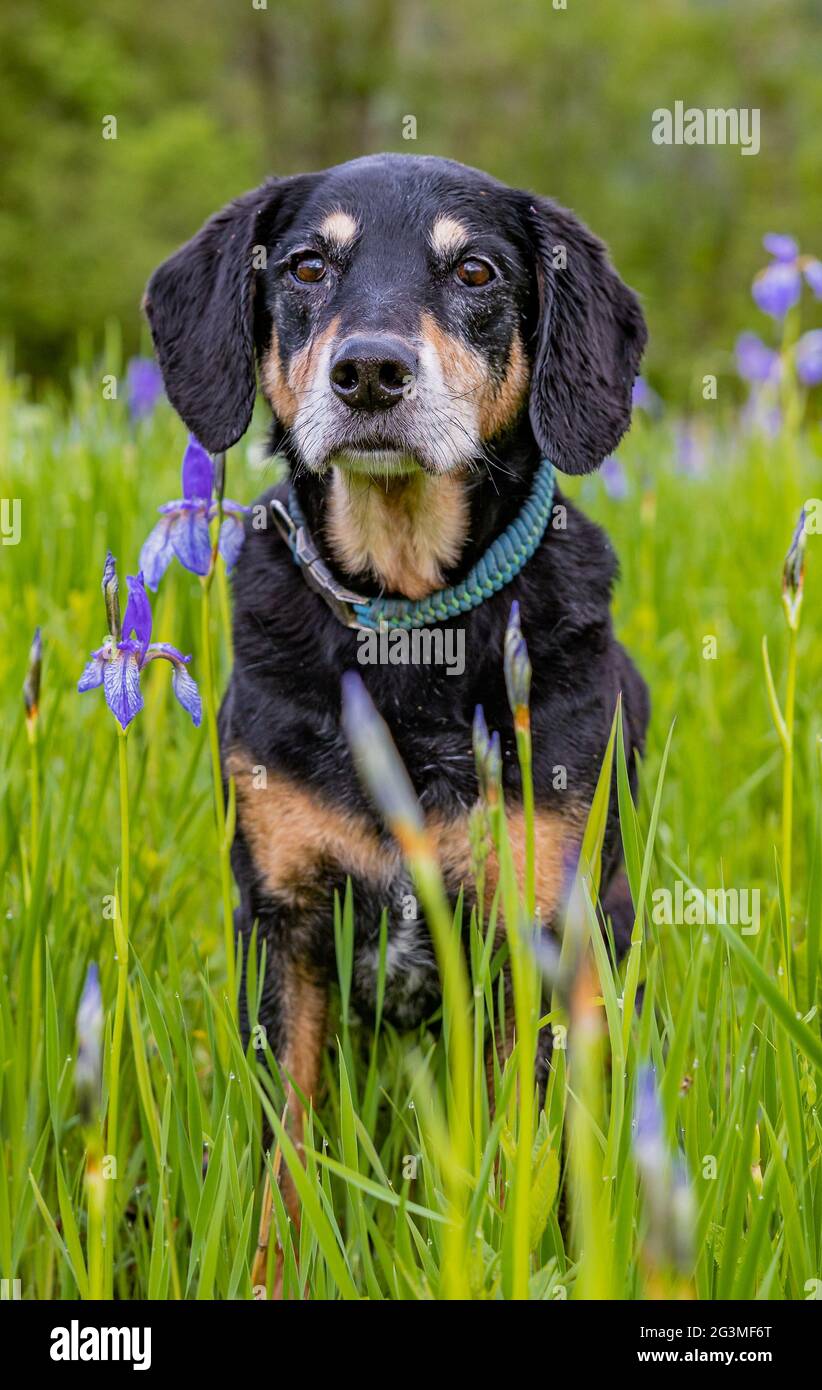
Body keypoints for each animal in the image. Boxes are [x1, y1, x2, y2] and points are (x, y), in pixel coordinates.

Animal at [144, 149, 653, 1195]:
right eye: (306, 266)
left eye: (475, 272)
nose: (371, 371)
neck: (408, 631)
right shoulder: (287, 925)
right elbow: (283, 1163)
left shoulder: (533, 934)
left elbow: (517, 1160)